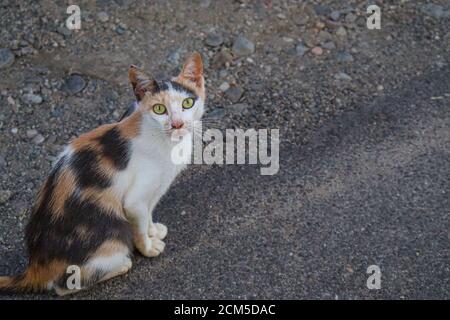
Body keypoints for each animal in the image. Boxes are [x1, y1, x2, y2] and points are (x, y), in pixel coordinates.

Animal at [0, 52, 206, 296]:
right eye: (159, 109)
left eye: (187, 103)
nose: (177, 124)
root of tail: (34, 267)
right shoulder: (134, 201)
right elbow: (139, 226)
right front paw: (148, 247)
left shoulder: (155, 191)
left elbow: (148, 215)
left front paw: (154, 230)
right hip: (111, 239)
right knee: (62, 286)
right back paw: (122, 264)